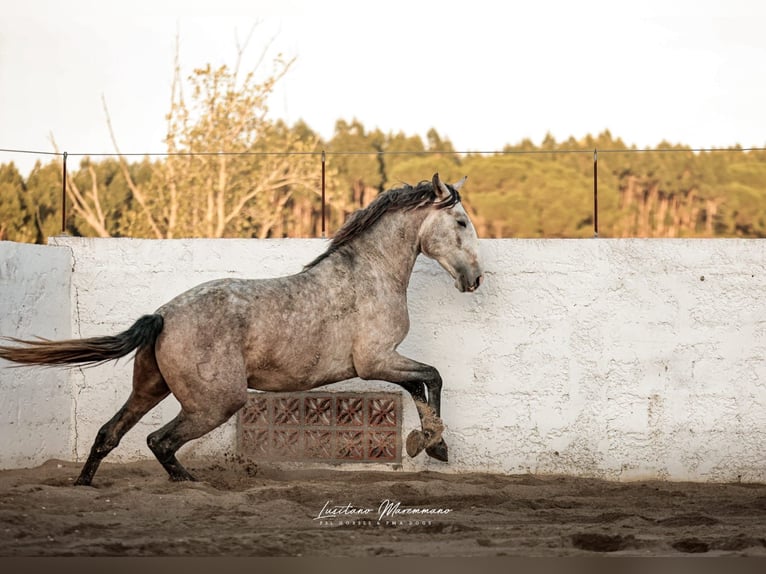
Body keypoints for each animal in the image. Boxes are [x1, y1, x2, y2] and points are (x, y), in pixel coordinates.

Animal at [0, 173, 484, 486]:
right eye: (461, 222)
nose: (475, 279)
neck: (370, 273)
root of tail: (163, 315)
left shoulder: (384, 362)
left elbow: (421, 385)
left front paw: (430, 444)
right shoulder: (376, 362)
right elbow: (432, 377)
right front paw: (433, 444)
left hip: (150, 388)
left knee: (109, 434)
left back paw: (84, 485)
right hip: (216, 403)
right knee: (159, 441)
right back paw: (193, 484)